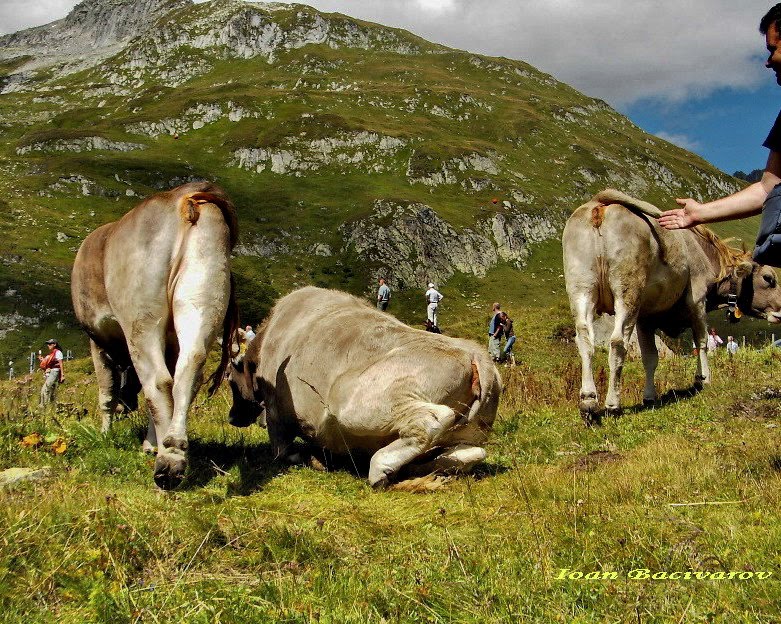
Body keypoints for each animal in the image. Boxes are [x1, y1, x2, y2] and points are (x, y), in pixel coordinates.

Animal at [72, 180, 238, 488]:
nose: (127, 409)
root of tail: (183, 197)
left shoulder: (96, 341)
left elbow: (106, 393)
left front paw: (105, 435)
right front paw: (149, 442)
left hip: (142, 318)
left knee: (158, 382)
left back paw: (167, 463)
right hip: (204, 291)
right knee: (188, 371)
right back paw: (173, 449)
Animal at [225, 288, 500, 488]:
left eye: (229, 378)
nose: (231, 417)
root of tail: (473, 352)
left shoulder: (275, 411)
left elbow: (280, 450)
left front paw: (307, 458)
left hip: (356, 404)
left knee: (432, 420)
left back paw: (380, 469)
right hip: (470, 433)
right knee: (471, 453)